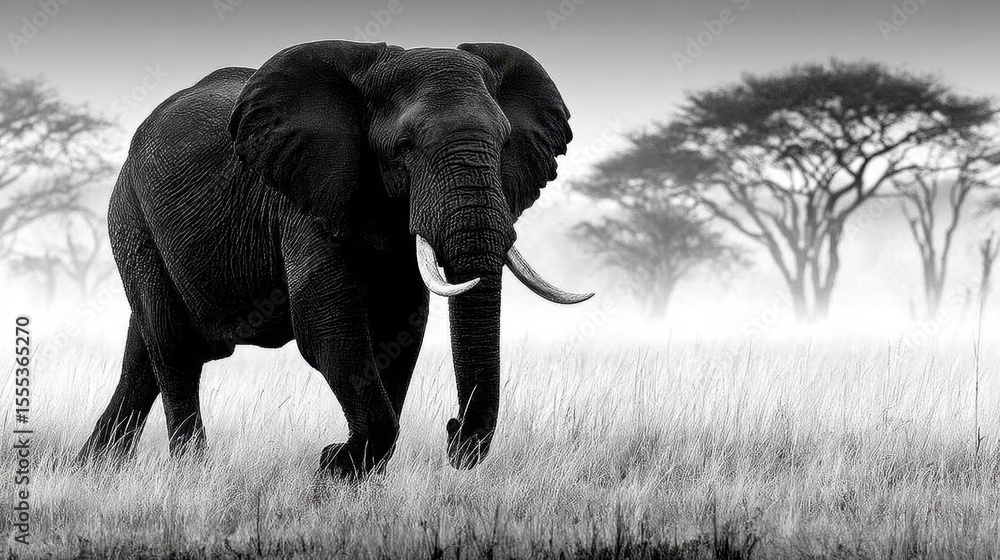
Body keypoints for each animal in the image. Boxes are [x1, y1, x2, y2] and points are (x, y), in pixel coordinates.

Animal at [76, 40, 592, 478]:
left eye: (505, 143)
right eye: (404, 147)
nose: (453, 434)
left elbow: (400, 328)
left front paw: (347, 470)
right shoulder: (308, 196)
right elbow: (328, 325)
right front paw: (335, 464)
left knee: (144, 353)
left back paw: (92, 468)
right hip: (132, 219)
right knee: (174, 346)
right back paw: (192, 472)